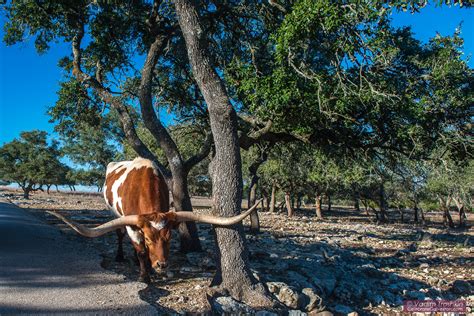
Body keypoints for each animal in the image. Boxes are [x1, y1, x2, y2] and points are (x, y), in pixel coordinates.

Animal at [48, 157, 260, 282]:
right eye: (150, 239)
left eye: (169, 238)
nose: (161, 265)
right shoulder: (133, 226)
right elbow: (142, 250)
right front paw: (144, 276)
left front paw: (148, 268)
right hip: (114, 214)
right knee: (119, 234)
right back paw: (122, 256)